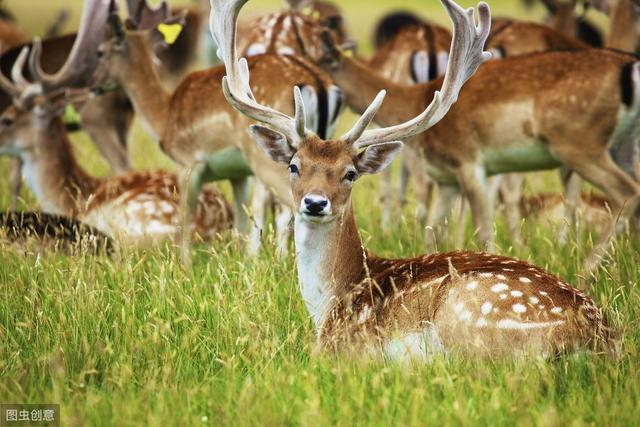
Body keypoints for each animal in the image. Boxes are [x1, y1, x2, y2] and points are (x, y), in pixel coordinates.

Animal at [210, 0, 608, 358]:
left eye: (350, 173)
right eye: (294, 165)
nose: (315, 203)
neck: (331, 302)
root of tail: (595, 336)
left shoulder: (341, 348)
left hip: (467, 319)